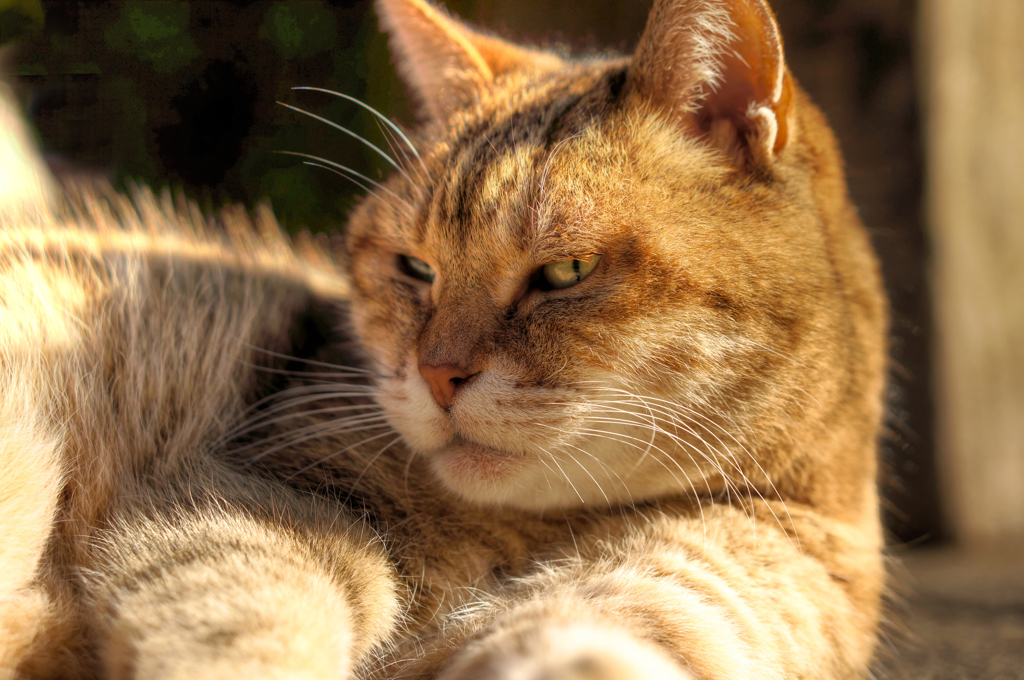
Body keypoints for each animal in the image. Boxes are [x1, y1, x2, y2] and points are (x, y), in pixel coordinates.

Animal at [0, 0, 888, 675]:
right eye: (415, 268)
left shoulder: (667, 603)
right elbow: (245, 626)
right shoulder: (255, 497)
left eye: (564, 271)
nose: (436, 374)